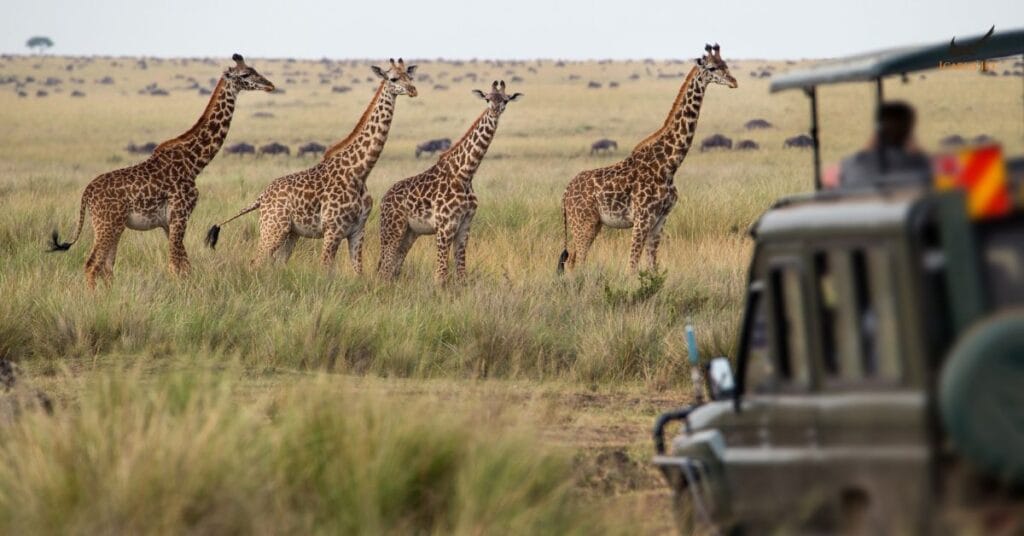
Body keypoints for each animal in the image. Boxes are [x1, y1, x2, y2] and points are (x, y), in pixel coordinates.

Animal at [49, 54, 274, 288]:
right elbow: (176, 265)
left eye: (254, 69)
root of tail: (86, 195)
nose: (270, 85)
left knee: (106, 266)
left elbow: (184, 266)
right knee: (92, 264)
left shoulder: (169, 223)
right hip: (107, 224)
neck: (194, 163)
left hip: (112, 226)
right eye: (245, 74)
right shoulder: (180, 215)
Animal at [205, 59, 417, 274]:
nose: (413, 90)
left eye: (410, 76)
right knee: (256, 261)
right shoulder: (333, 230)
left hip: (291, 233)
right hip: (273, 228)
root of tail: (262, 197)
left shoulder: (358, 230)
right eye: (393, 78)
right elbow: (326, 269)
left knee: (277, 263)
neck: (359, 171)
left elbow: (358, 271)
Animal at [376, 80, 522, 284]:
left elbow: (461, 274)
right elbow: (441, 275)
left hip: (409, 232)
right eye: (487, 98)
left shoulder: (465, 226)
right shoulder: (445, 226)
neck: (465, 174)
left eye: (506, 100)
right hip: (392, 229)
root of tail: (383, 200)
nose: (494, 111)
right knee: (384, 269)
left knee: (393, 268)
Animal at [558, 44, 737, 273]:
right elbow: (632, 265)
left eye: (726, 65)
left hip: (592, 223)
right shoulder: (642, 218)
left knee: (572, 260)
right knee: (577, 262)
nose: (734, 81)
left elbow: (652, 266)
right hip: (583, 222)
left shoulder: (660, 219)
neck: (668, 165)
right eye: (713, 68)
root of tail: (565, 193)